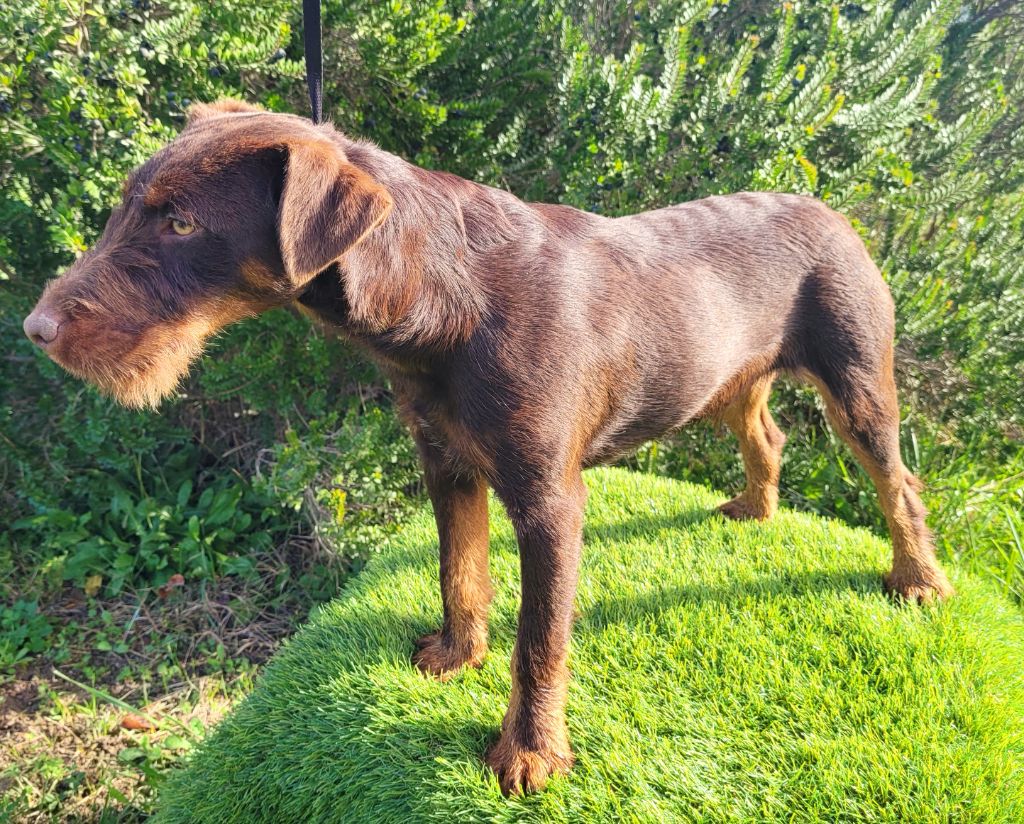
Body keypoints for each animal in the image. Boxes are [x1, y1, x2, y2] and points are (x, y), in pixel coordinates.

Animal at [24, 99, 950, 794]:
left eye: (181, 222)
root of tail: (829, 209)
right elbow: (459, 569)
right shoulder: (447, 463)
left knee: (896, 479)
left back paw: (918, 579)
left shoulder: (548, 500)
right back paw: (758, 507)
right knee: (767, 430)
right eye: (128, 206)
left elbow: (540, 639)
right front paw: (456, 653)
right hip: (730, 376)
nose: (35, 330)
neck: (442, 293)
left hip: (858, 377)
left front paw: (530, 753)